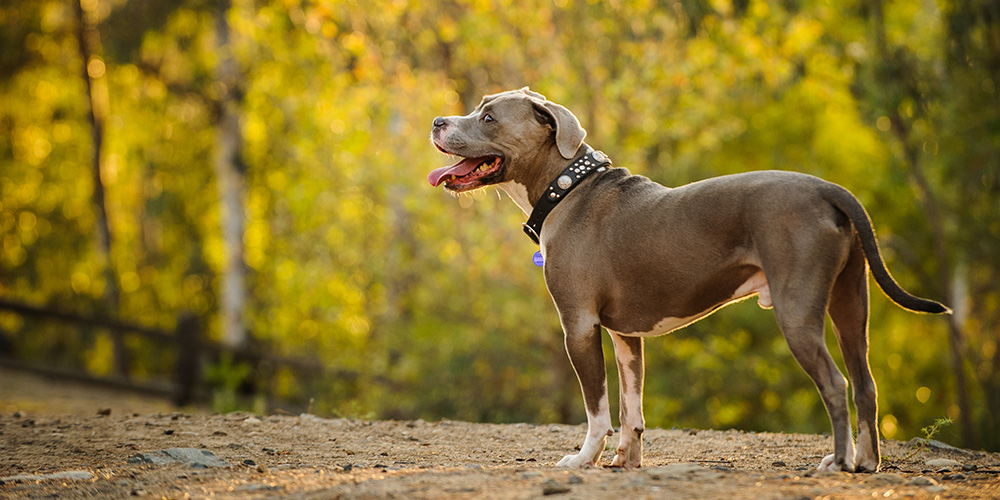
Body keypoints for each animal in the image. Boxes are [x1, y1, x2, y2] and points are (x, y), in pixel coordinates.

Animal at [426, 87, 948, 472]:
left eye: (489, 117)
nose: (437, 121)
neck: (566, 187)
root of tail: (828, 189)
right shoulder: (625, 334)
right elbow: (631, 406)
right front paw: (626, 460)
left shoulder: (579, 326)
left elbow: (597, 409)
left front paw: (583, 459)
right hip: (849, 306)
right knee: (865, 383)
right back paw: (867, 463)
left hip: (798, 312)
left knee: (836, 384)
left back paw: (837, 463)